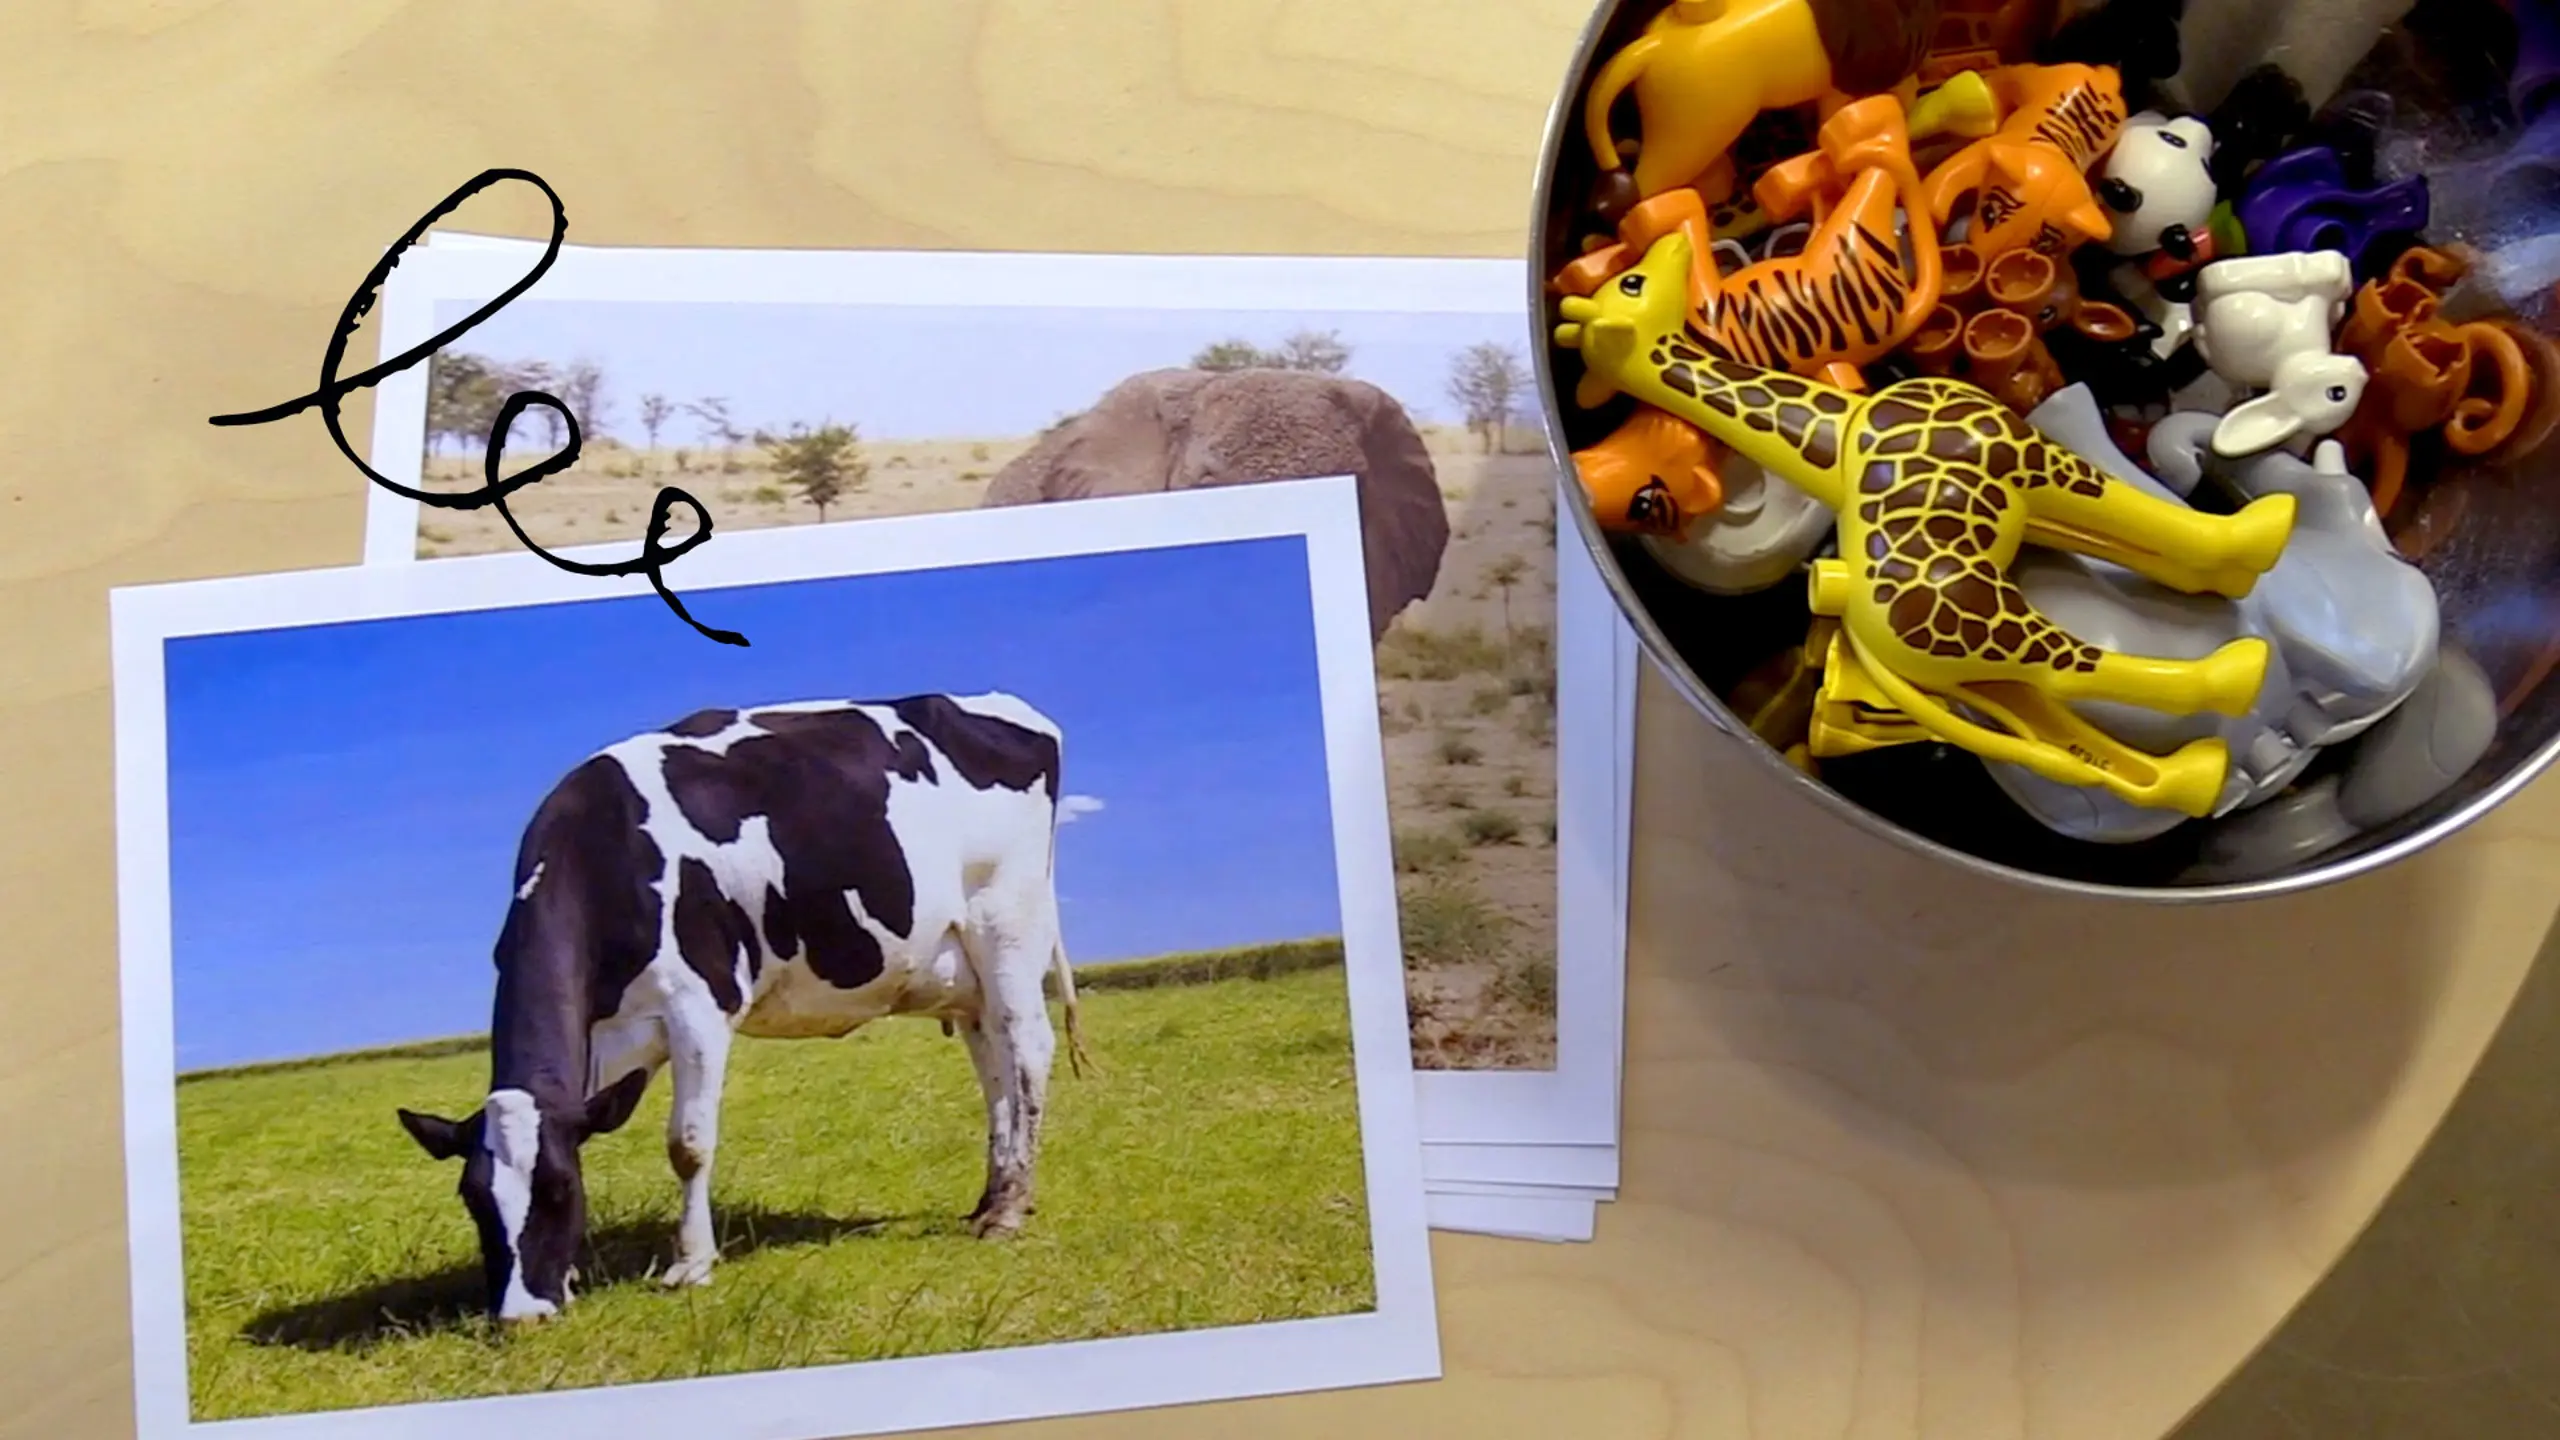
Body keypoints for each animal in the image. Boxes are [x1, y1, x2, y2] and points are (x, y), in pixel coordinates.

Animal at [391, 691, 1090, 1322]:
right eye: (473, 1199)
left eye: (558, 1191)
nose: (521, 1314)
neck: (607, 848)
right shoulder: (600, 1042)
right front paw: (568, 1274)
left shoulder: (698, 1006)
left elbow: (688, 1144)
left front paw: (691, 1264)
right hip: (964, 974)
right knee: (995, 1071)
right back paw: (993, 1197)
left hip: (1007, 928)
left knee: (1028, 1050)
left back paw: (1007, 1211)